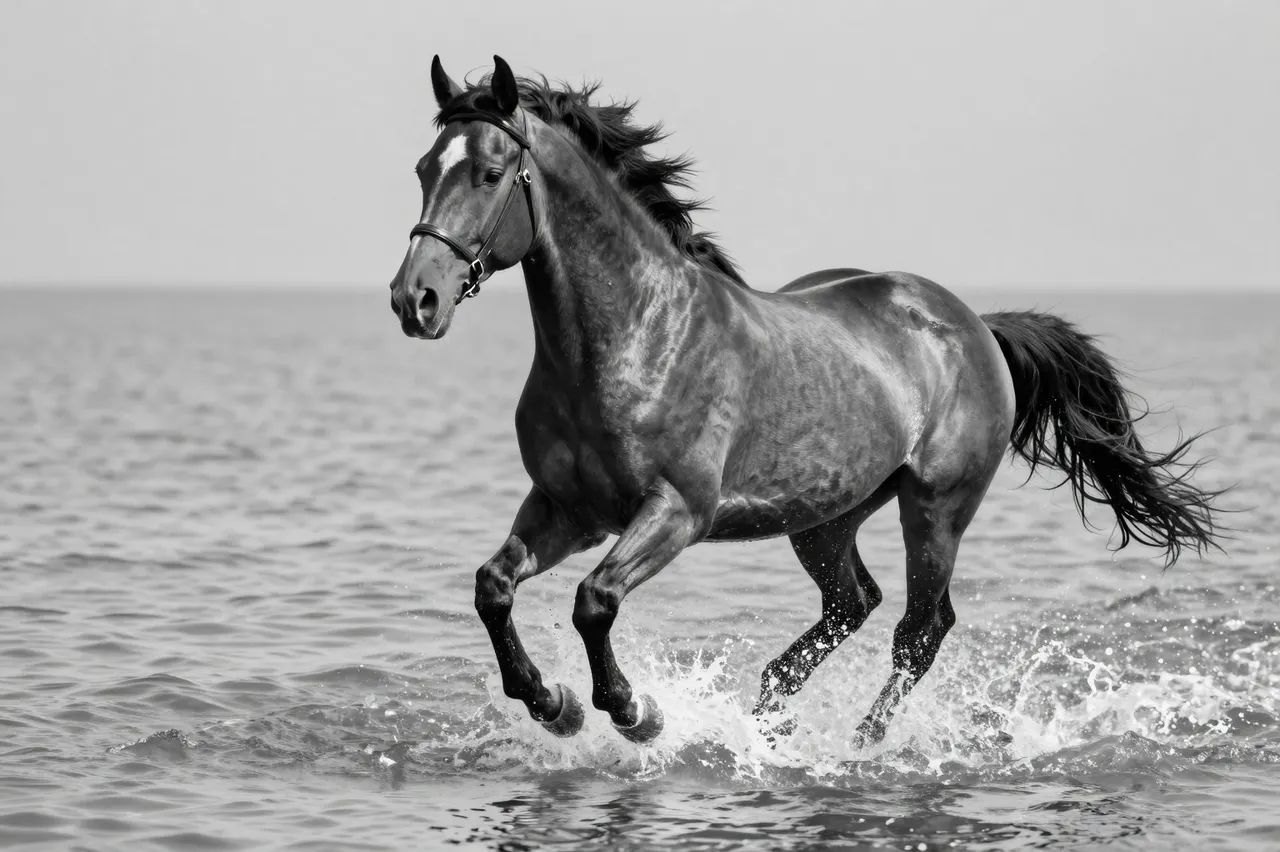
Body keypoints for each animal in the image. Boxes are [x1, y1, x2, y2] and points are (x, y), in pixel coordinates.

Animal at [388, 55, 1220, 746]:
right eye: (426, 166)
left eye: (490, 172)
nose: (414, 300)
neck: (635, 337)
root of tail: (973, 324)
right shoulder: (569, 508)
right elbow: (493, 587)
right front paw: (550, 703)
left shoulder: (676, 512)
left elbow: (594, 601)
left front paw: (634, 712)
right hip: (824, 517)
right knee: (855, 602)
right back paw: (767, 722)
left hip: (936, 507)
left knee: (921, 628)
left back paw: (861, 742)